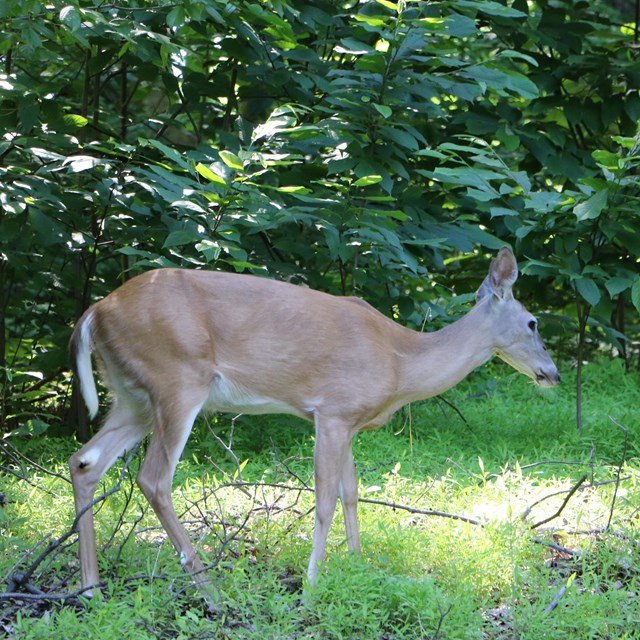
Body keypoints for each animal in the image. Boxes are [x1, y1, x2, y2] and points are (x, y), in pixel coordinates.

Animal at [69, 246, 560, 600]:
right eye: (533, 322)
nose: (552, 374)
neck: (401, 363)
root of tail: (95, 312)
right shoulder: (333, 411)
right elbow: (324, 501)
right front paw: (311, 585)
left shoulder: (348, 421)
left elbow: (351, 493)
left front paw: (359, 567)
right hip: (177, 379)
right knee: (154, 479)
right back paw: (210, 589)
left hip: (132, 397)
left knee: (84, 462)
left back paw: (91, 587)